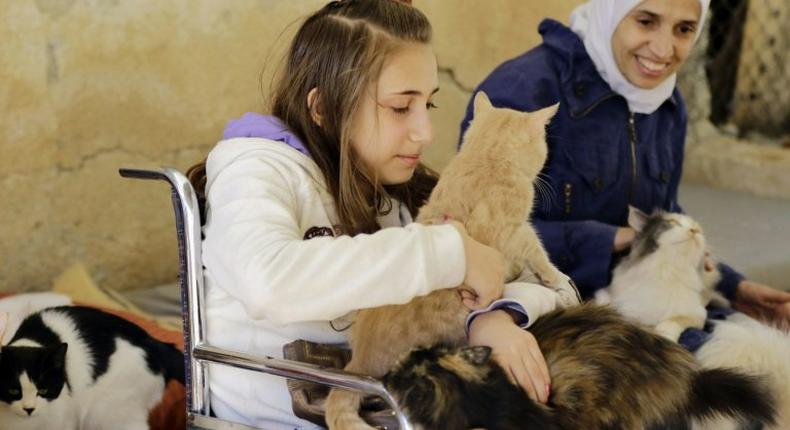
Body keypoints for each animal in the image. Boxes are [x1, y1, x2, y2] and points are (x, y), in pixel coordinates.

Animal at [0, 306, 184, 430]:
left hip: (106, 412)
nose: (29, 408)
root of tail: (157, 344)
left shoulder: (65, 421)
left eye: (43, 390)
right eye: (13, 391)